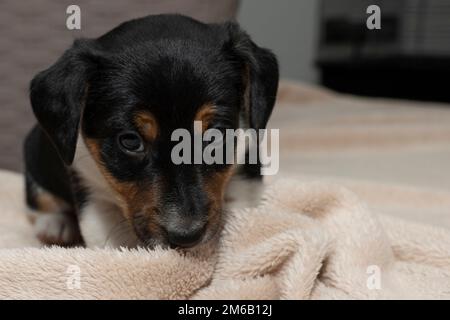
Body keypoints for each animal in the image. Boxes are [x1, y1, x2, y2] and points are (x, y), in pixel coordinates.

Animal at [24, 14, 280, 250]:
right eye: (130, 141)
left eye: (215, 136)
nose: (186, 237)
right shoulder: (88, 186)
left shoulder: (247, 160)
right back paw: (56, 225)